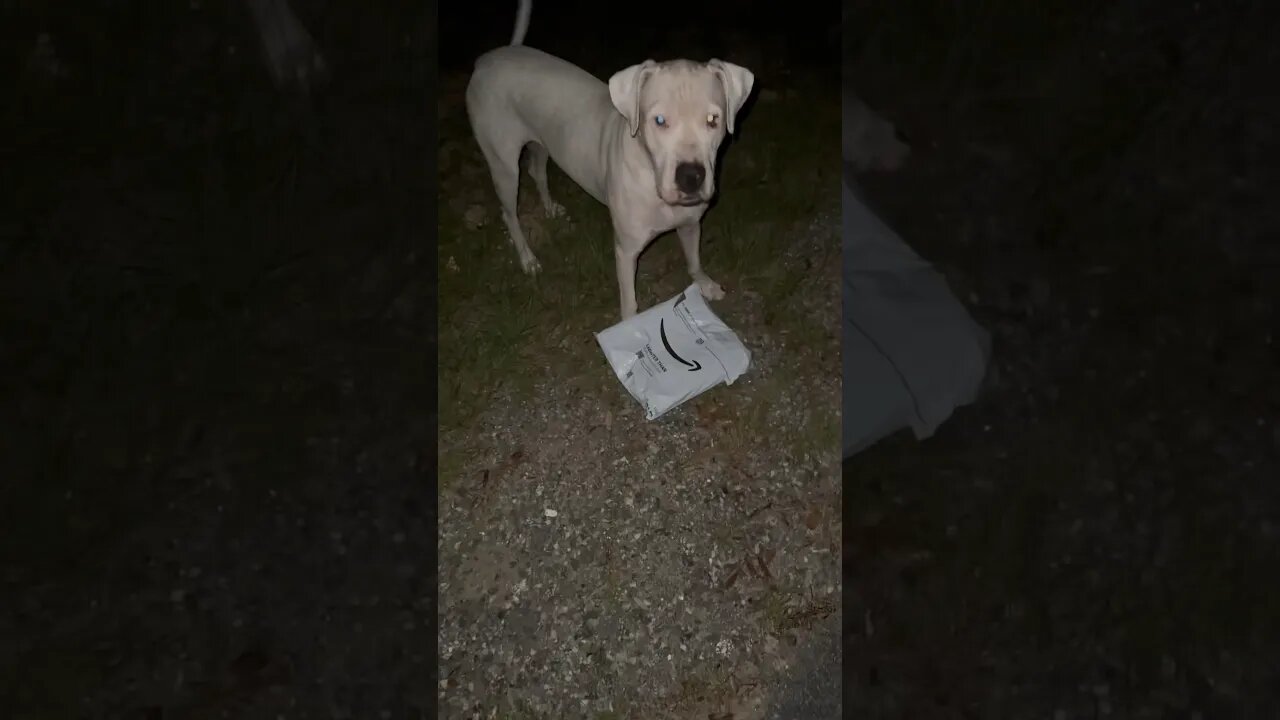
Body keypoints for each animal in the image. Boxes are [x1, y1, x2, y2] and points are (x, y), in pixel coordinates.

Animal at [465, 0, 752, 316]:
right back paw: (528, 258)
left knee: (537, 171)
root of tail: (491, 57)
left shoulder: (690, 224)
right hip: (503, 165)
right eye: (659, 120)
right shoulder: (626, 251)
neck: (650, 175)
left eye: (713, 120)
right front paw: (630, 322)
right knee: (509, 212)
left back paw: (550, 208)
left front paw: (704, 283)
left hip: (543, 142)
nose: (691, 177)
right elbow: (630, 302)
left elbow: (694, 259)